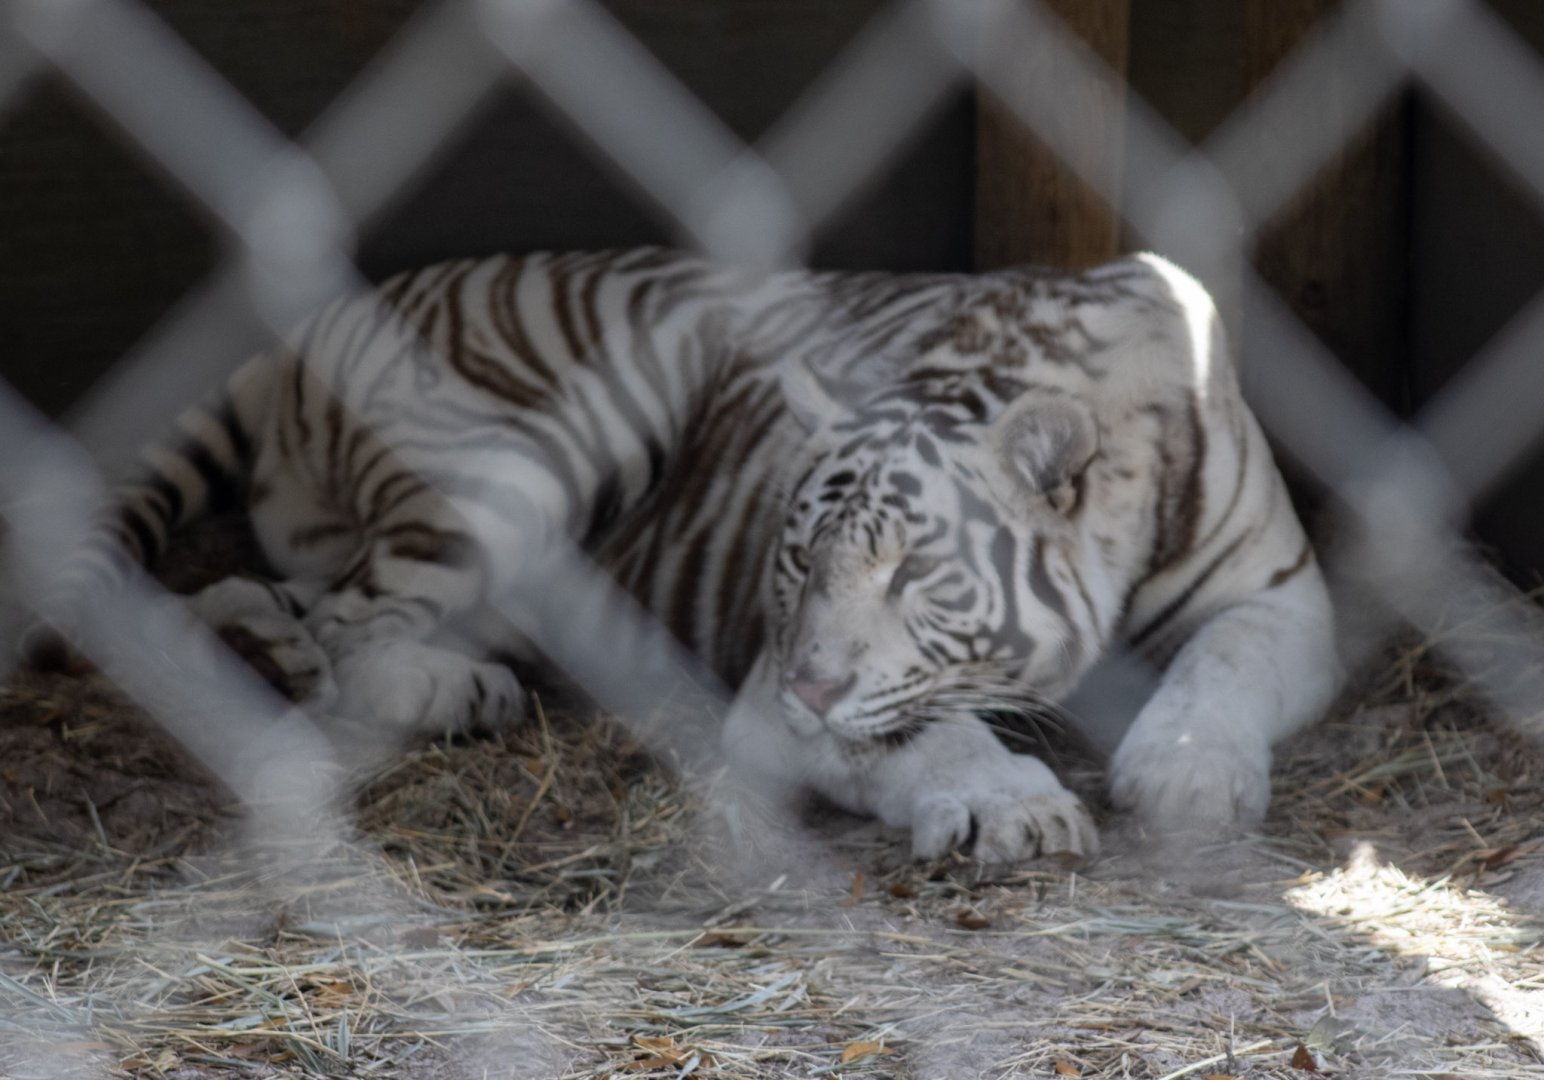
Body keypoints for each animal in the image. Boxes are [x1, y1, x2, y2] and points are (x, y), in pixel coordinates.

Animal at [20, 247, 1339, 863]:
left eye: (914, 573)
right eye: (796, 563)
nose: (810, 683)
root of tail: (317, 319)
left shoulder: (1279, 596)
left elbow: (1222, 669)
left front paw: (1185, 778)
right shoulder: (782, 694)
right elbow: (919, 729)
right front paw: (1006, 805)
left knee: (272, 593)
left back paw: (261, 644)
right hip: (564, 435)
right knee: (359, 622)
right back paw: (455, 692)